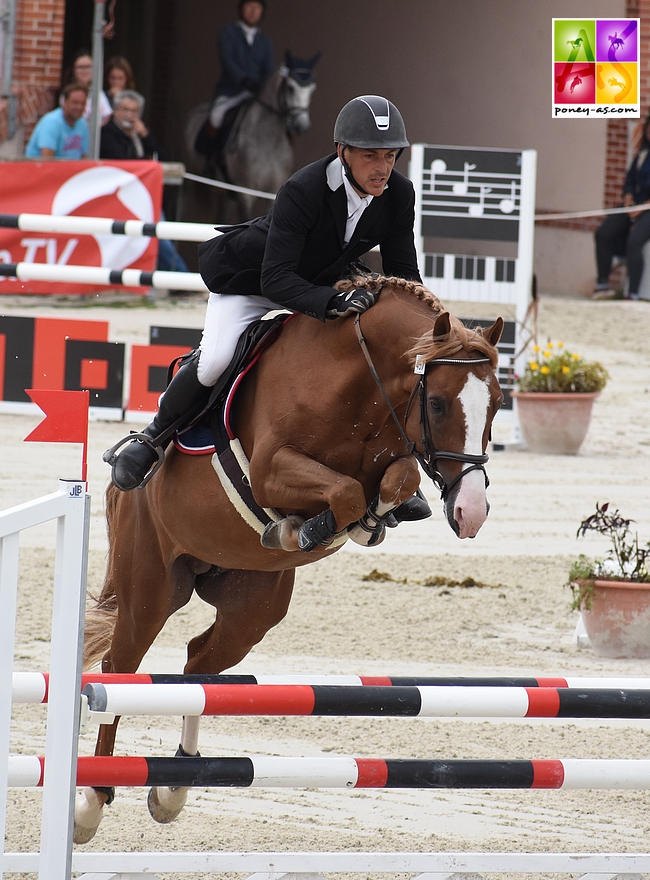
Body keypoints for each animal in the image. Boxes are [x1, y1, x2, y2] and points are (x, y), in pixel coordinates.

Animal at [74, 278, 502, 844]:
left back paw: (172, 788)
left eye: (498, 403)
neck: (355, 376)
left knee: (198, 666)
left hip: (251, 609)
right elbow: (343, 492)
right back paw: (89, 803)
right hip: (150, 587)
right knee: (119, 668)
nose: (471, 511)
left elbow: (397, 479)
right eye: (434, 403)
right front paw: (309, 528)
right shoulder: (270, 470)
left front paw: (367, 520)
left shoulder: (393, 453)